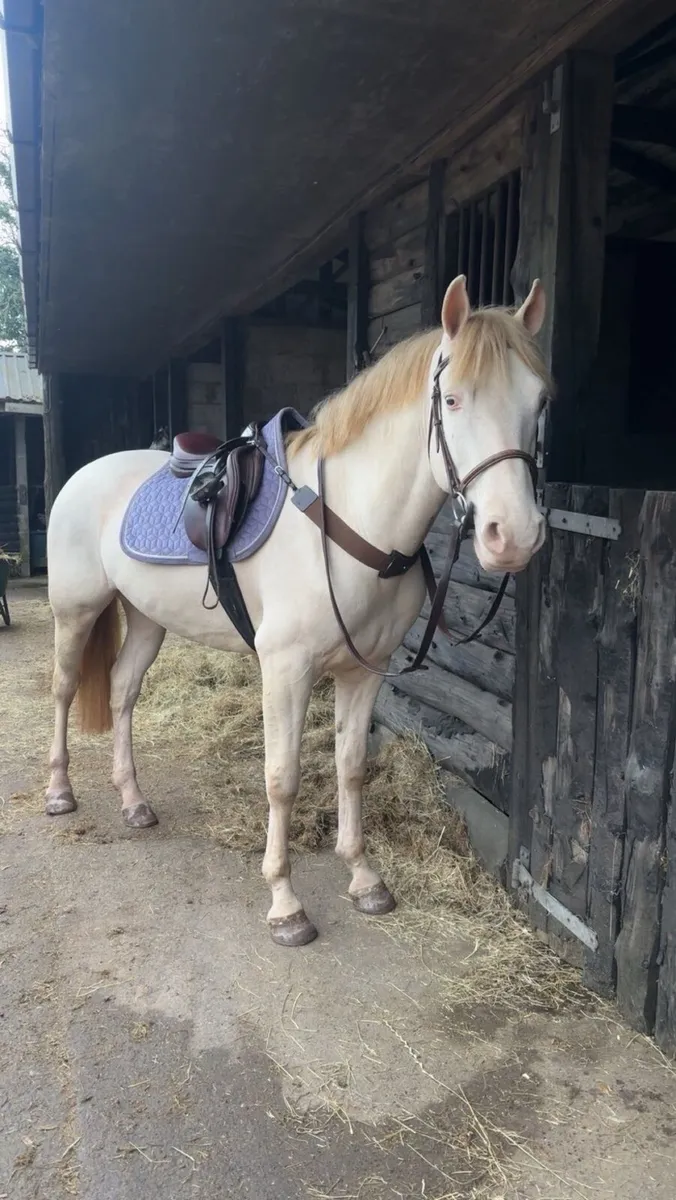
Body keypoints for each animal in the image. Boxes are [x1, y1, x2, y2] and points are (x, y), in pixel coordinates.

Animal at [44, 276, 549, 946]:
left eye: (539, 401)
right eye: (454, 399)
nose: (512, 537)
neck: (348, 521)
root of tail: (85, 475)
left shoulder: (364, 671)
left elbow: (350, 767)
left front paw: (364, 879)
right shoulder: (286, 669)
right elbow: (282, 779)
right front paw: (286, 904)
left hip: (148, 617)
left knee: (124, 691)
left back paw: (133, 803)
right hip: (76, 611)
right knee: (65, 689)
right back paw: (59, 791)